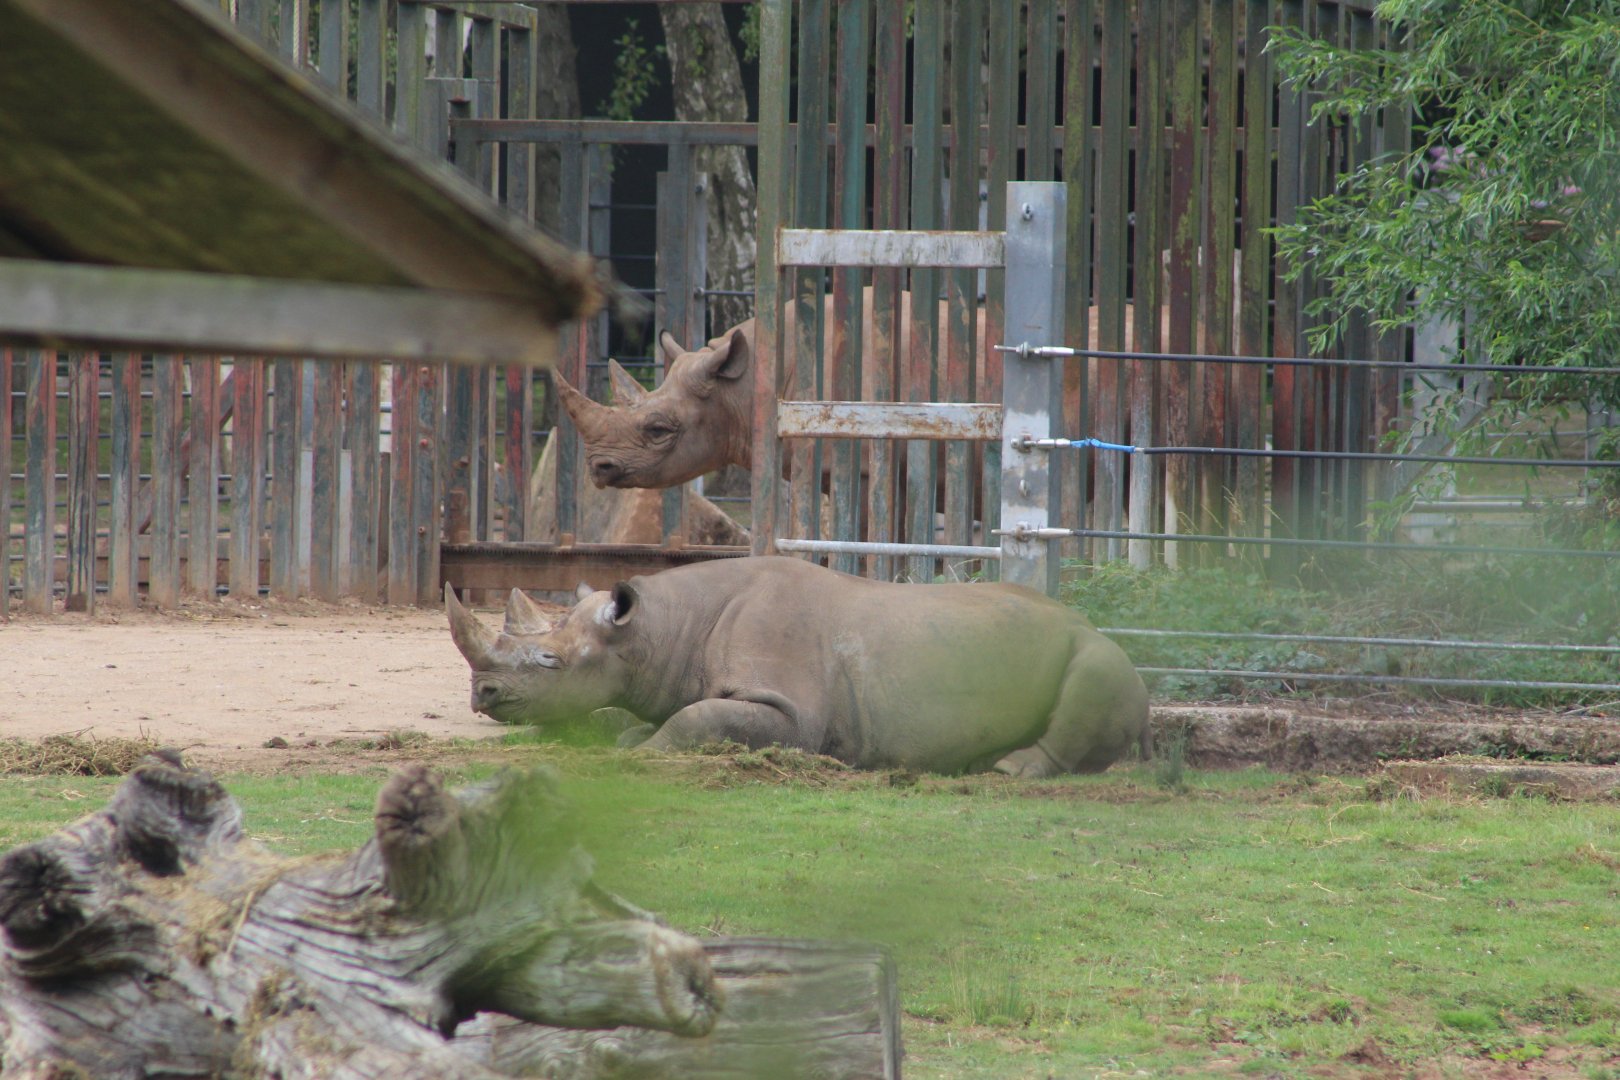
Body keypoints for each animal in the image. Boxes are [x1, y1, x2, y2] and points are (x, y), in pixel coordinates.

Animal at [446, 556, 1150, 778]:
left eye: (549, 661)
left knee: (1097, 669)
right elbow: (679, 714)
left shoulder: (790, 711)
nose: (484, 695)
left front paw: (640, 755)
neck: (658, 631)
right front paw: (632, 739)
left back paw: (1008, 770)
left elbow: (699, 722)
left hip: (1097, 649)